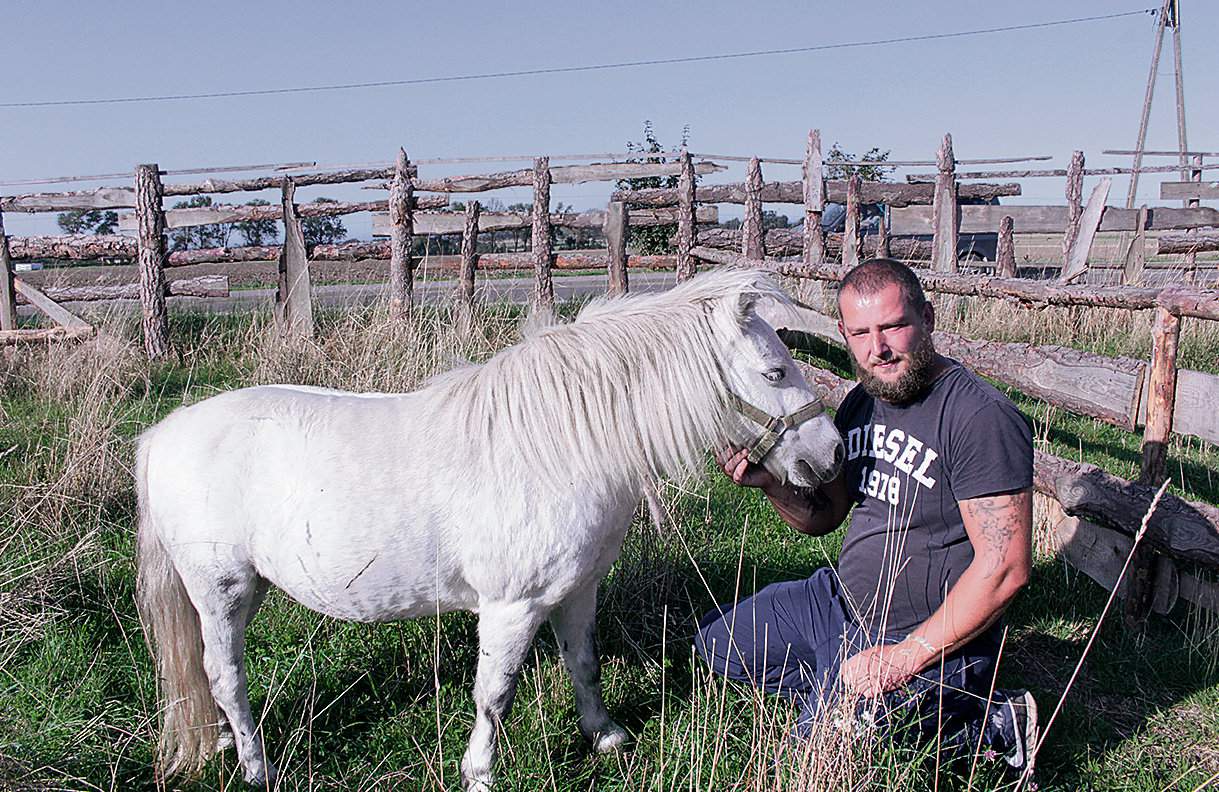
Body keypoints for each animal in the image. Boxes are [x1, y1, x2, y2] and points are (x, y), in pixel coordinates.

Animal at [131, 268, 838, 784]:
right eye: (776, 372)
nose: (830, 454)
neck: (558, 444)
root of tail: (160, 436)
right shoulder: (511, 606)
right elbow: (493, 694)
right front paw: (480, 772)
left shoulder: (576, 592)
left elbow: (582, 662)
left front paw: (605, 736)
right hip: (221, 590)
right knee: (225, 676)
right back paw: (257, 769)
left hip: (243, 592)